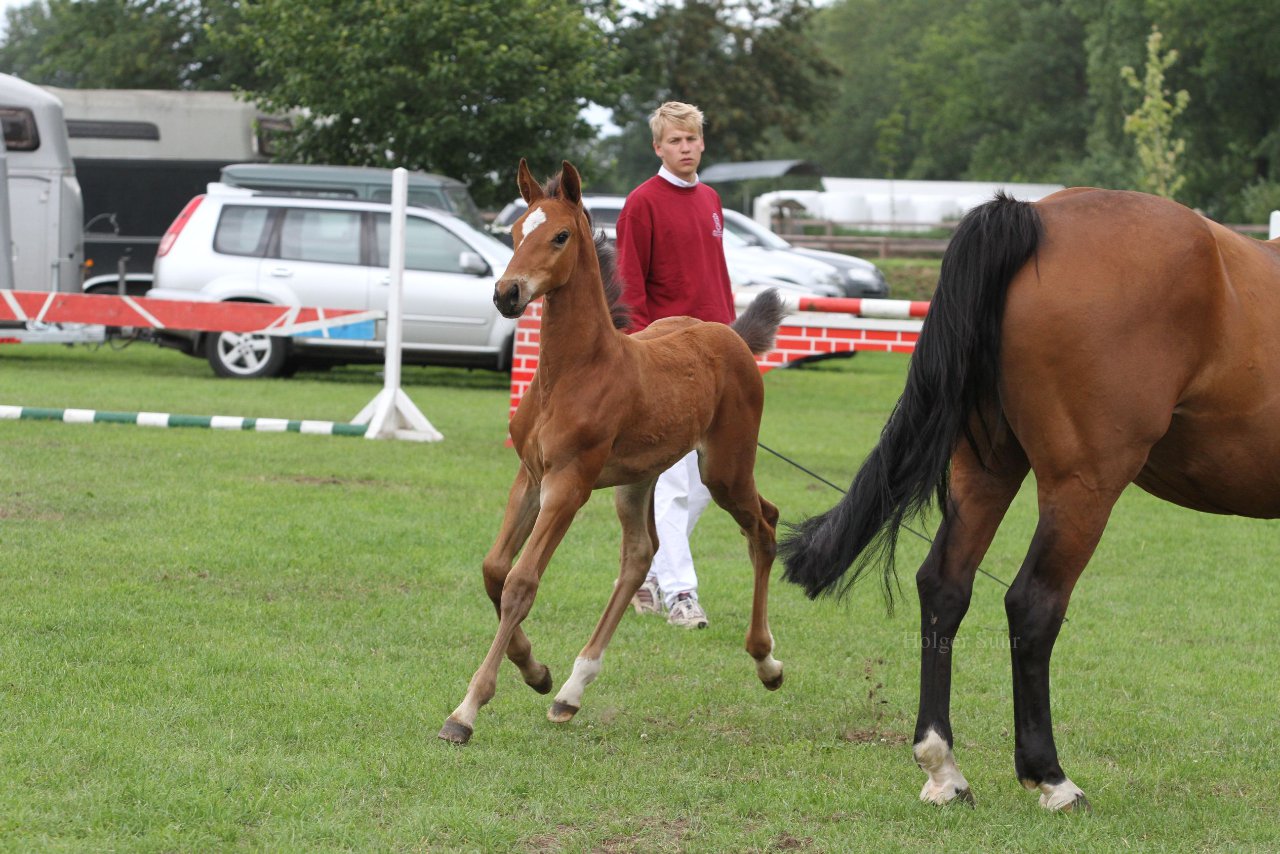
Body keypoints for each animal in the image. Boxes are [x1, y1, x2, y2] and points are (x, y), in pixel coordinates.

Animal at [442, 156, 788, 742]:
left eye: (559, 236)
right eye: (514, 232)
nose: (507, 294)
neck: (573, 373)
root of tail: (731, 337)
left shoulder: (569, 485)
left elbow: (521, 582)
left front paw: (466, 710)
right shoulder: (530, 476)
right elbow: (494, 570)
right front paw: (535, 670)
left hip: (725, 467)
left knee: (763, 526)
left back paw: (767, 662)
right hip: (638, 479)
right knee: (641, 554)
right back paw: (570, 690)